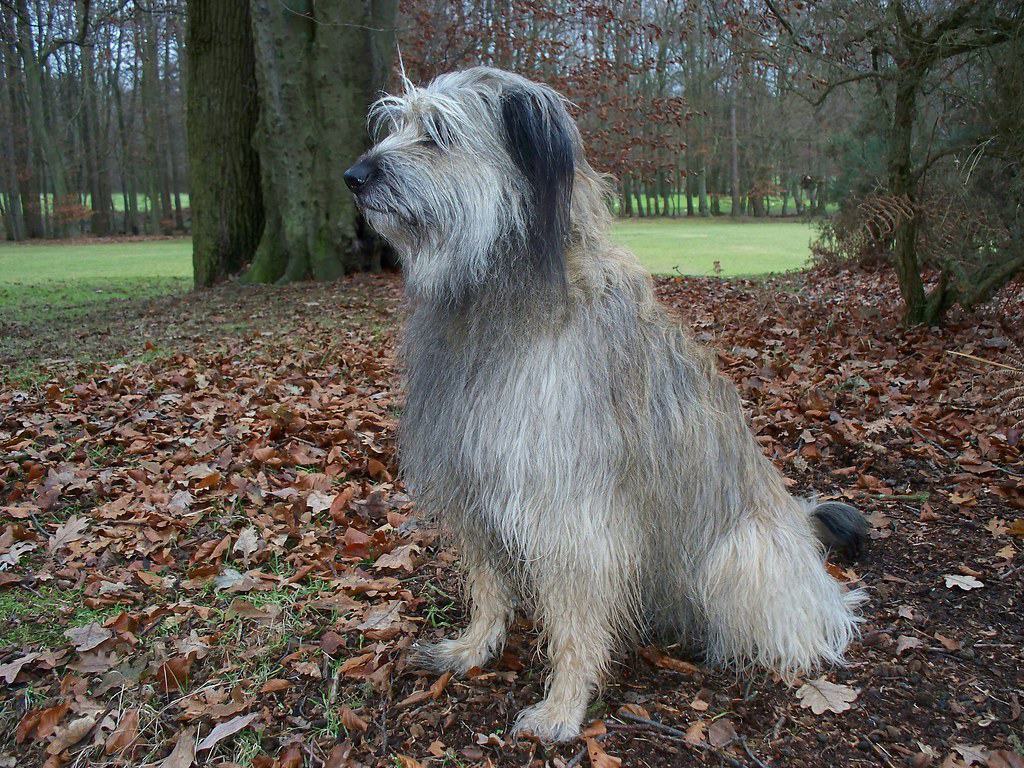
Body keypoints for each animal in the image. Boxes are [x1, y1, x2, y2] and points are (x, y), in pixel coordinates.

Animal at [344, 67, 864, 745]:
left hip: (741, 557)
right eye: (398, 124)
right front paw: (474, 648)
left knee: (817, 620)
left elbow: (573, 620)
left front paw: (563, 705)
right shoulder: (472, 486)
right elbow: (488, 584)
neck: (499, 299)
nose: (354, 175)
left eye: (437, 132)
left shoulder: (571, 514)